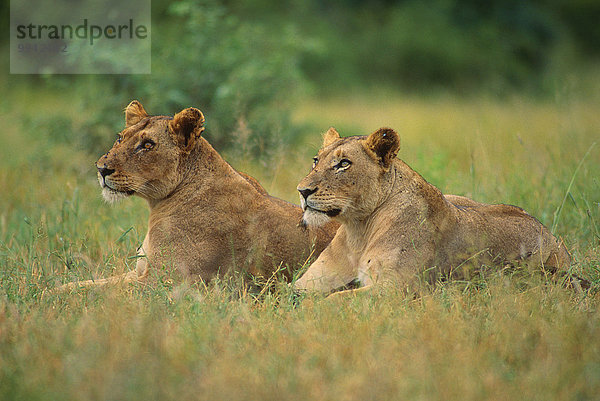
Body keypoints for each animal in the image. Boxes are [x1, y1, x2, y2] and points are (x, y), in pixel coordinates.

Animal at [61, 99, 338, 288]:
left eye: (147, 145)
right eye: (120, 138)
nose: (101, 169)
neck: (159, 203)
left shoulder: (165, 281)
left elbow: (93, 292)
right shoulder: (138, 272)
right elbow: (79, 285)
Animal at [294, 126, 572, 296]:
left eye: (343, 164)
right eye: (316, 160)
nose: (302, 191)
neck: (358, 230)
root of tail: (554, 237)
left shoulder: (395, 289)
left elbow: (332, 300)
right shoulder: (309, 281)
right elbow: (289, 292)